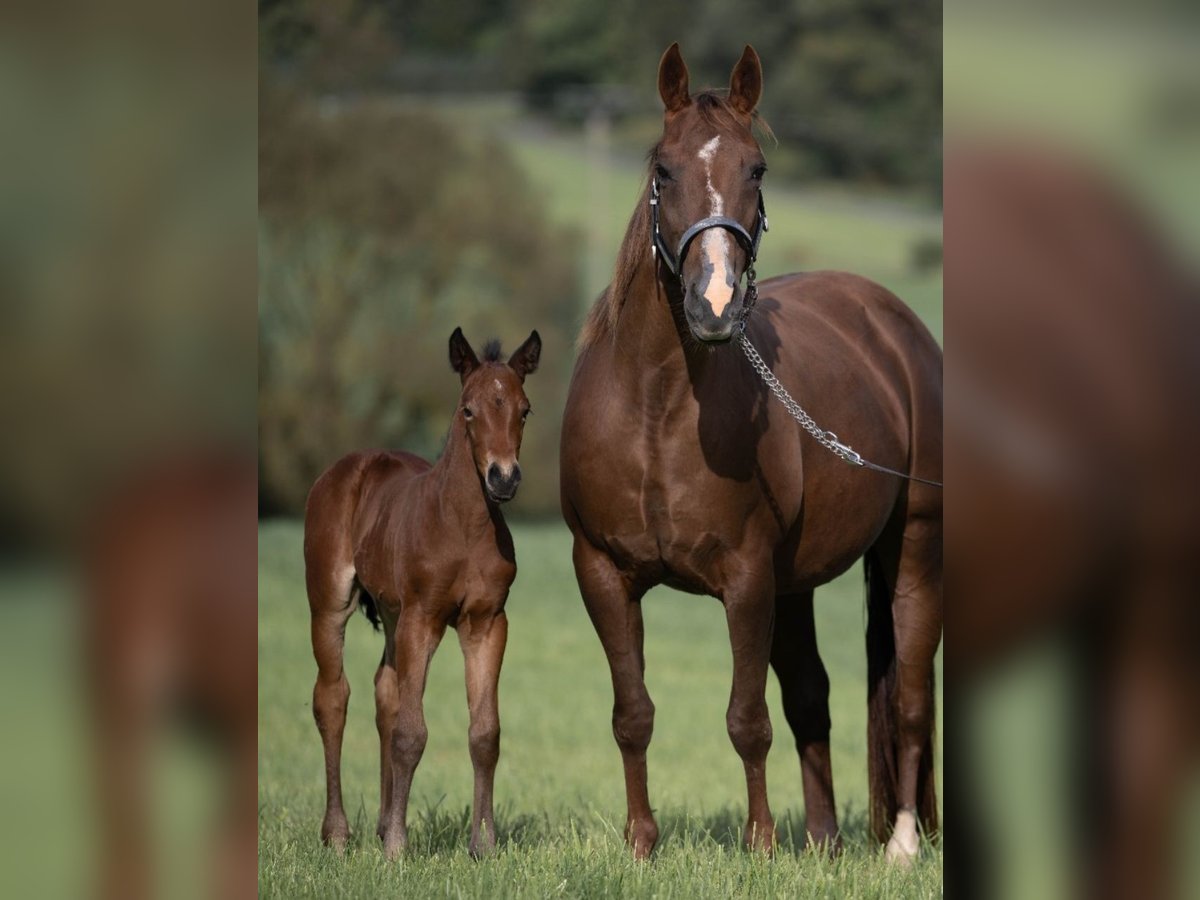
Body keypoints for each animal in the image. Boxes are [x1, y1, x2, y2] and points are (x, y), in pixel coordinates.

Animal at [302, 328, 542, 859]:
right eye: (468, 410)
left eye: (524, 409)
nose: (503, 478)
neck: (463, 527)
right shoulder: (423, 618)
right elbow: (411, 733)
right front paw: (396, 848)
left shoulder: (487, 623)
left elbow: (484, 732)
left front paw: (483, 844)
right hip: (331, 605)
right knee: (333, 698)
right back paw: (338, 833)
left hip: (393, 615)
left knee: (384, 693)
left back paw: (379, 824)